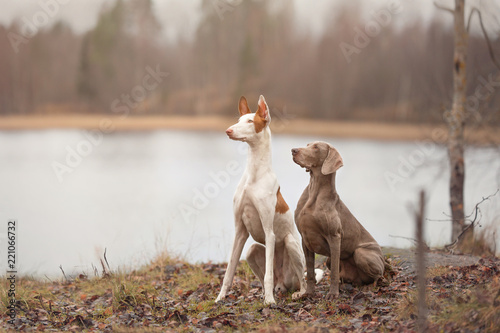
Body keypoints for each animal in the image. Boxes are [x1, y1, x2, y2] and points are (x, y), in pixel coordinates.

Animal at [292, 140, 384, 298]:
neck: (314, 192)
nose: (293, 150)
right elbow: (309, 272)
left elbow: (334, 272)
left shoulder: (334, 237)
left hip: (362, 253)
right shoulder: (305, 239)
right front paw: (308, 293)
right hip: (329, 261)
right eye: (308, 144)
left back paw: (368, 288)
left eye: (316, 147)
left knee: (379, 276)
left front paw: (333, 294)